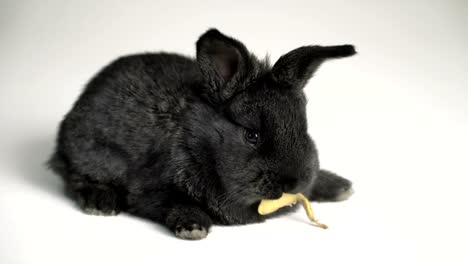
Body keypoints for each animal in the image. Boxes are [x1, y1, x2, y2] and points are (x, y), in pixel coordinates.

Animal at [48, 28, 354, 239]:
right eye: (252, 135)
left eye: (304, 127)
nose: (293, 183)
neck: (201, 143)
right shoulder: (149, 189)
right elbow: (173, 202)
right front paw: (193, 226)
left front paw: (339, 187)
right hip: (91, 153)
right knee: (74, 176)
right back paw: (101, 202)